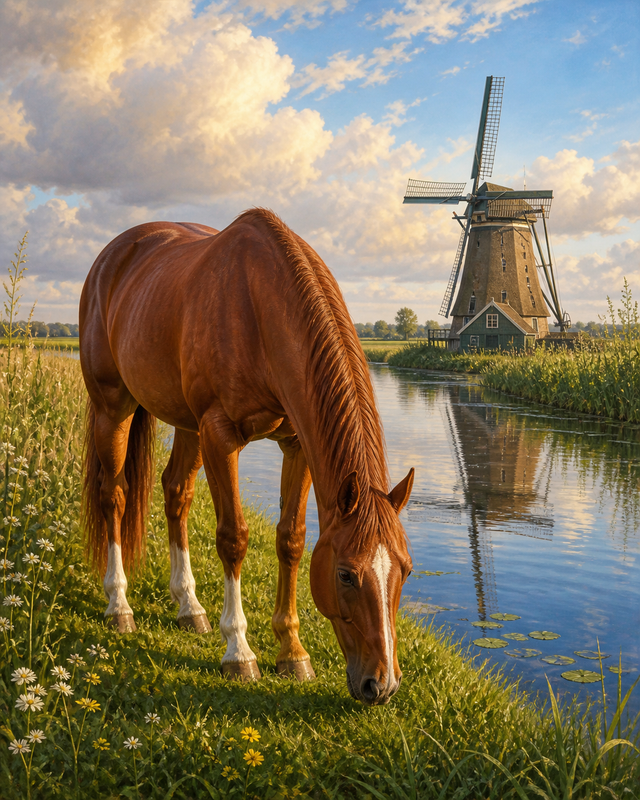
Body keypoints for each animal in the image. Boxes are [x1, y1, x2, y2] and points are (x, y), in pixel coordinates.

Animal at [79, 209, 414, 705]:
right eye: (346, 575)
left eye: (405, 570)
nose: (382, 684)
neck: (260, 307)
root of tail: (110, 257)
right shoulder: (221, 437)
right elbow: (233, 538)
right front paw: (239, 651)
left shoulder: (296, 443)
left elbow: (290, 540)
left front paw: (292, 652)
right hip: (113, 408)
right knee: (114, 496)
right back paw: (119, 604)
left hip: (186, 424)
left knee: (176, 493)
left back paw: (189, 606)